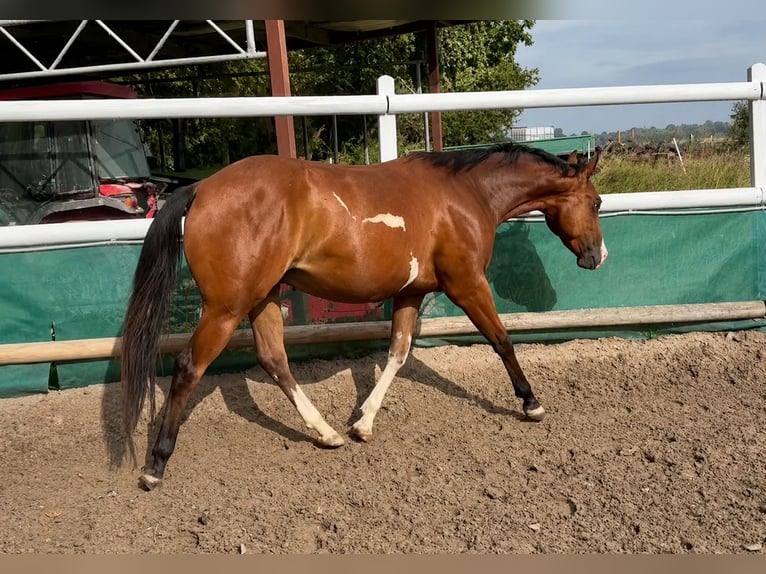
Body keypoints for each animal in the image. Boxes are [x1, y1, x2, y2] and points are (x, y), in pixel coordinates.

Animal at [120, 142, 607, 490]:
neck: (464, 195)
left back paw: (326, 432)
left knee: (274, 359)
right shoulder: (468, 284)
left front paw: (362, 423)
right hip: (227, 307)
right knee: (190, 367)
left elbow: (397, 354)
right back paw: (156, 465)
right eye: (597, 202)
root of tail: (201, 188)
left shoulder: (411, 292)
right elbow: (502, 340)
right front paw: (531, 403)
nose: (598, 257)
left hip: (262, 298)